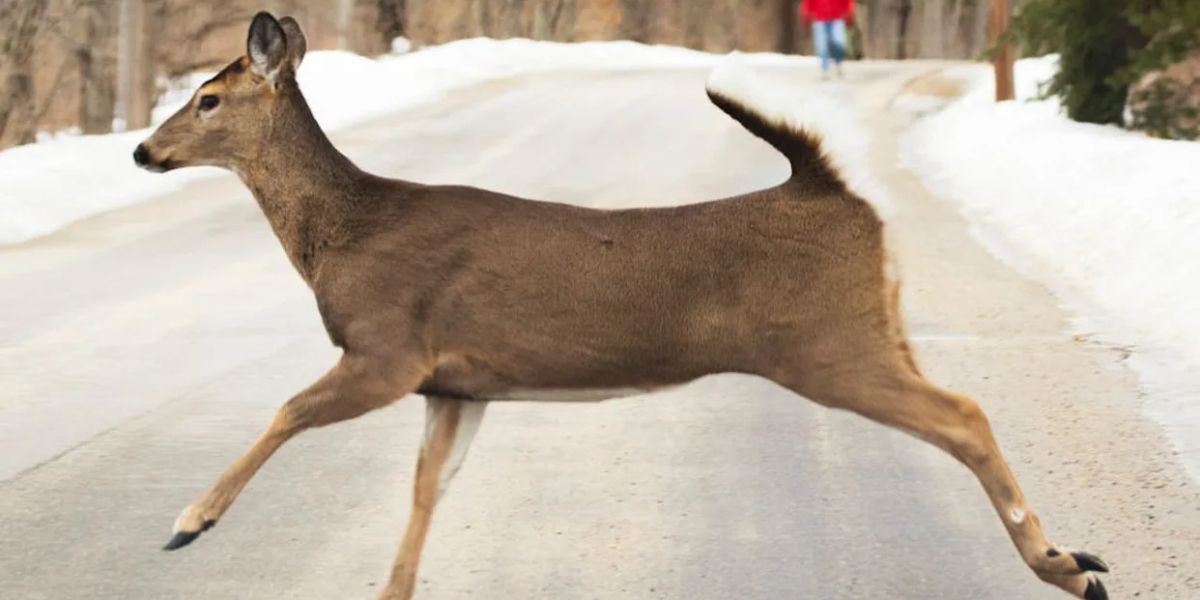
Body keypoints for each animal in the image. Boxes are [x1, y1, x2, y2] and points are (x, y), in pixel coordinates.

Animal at [133, 12, 1109, 600]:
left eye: (207, 98)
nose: (143, 150)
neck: (343, 234)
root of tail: (835, 193)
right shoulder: (457, 384)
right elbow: (424, 491)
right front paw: (390, 591)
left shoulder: (387, 348)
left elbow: (287, 410)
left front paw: (189, 522)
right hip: (877, 329)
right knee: (957, 404)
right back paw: (1072, 561)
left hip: (825, 344)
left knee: (965, 412)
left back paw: (1066, 566)